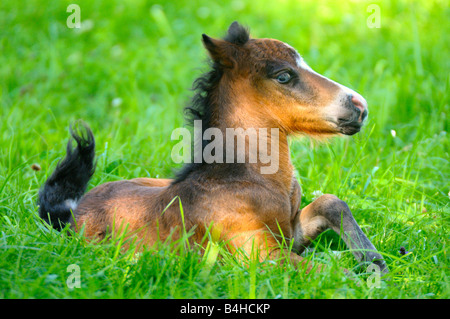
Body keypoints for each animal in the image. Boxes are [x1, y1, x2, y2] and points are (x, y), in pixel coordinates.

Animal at [38, 21, 388, 276]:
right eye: (284, 76)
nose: (360, 106)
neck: (250, 180)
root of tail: (70, 211)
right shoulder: (262, 256)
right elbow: (331, 275)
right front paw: (369, 277)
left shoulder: (290, 234)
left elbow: (330, 202)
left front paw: (374, 261)